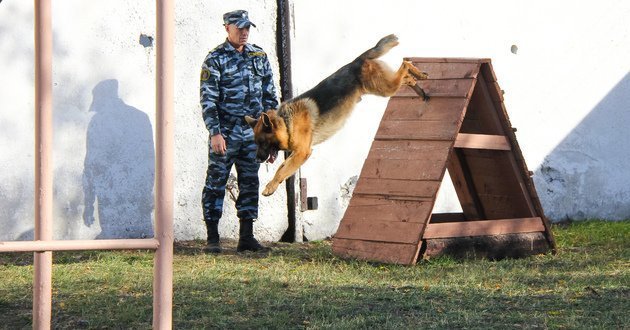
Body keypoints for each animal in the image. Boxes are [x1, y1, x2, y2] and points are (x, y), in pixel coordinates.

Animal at [247, 34, 430, 196]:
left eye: (262, 142)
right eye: (256, 143)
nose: (255, 160)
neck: (285, 121)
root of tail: (356, 61)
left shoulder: (302, 153)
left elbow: (281, 171)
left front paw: (269, 187)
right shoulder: (296, 154)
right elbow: (282, 168)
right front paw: (271, 186)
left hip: (385, 88)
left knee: (404, 64)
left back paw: (417, 73)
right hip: (385, 86)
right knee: (405, 76)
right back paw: (419, 81)